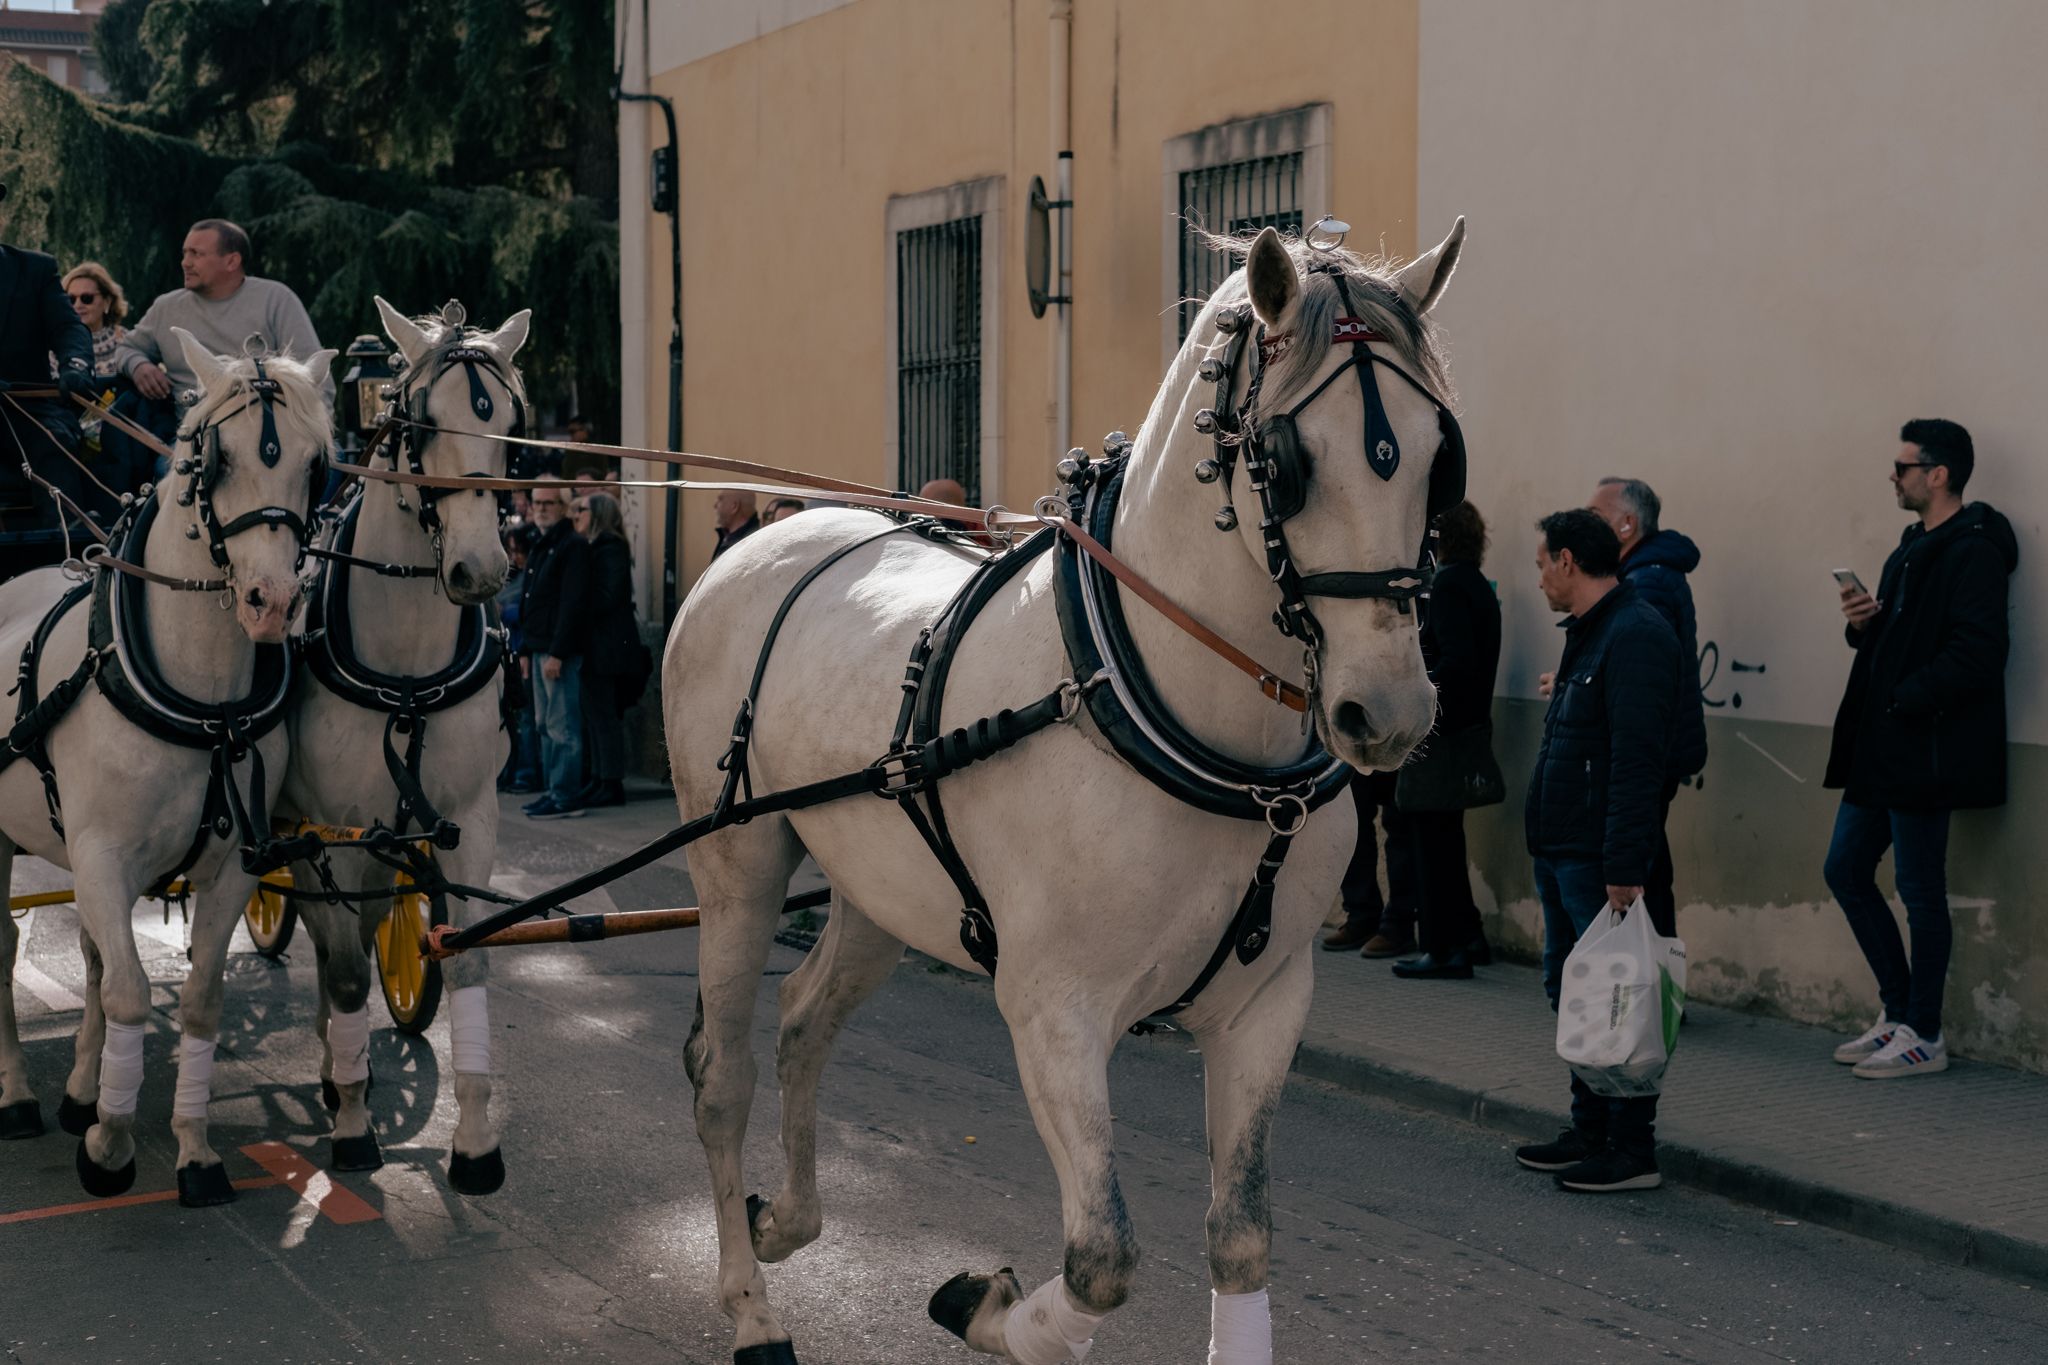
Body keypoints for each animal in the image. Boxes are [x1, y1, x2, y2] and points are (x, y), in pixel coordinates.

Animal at [0, 333, 331, 1203]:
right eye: (214, 460)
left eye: (316, 463)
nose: (271, 602)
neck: (202, 699)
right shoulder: (102, 856)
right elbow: (128, 991)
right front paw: (111, 1143)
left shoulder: (232, 866)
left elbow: (199, 999)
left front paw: (192, 1148)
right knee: (8, 950)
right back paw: (17, 1094)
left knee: (84, 952)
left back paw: (78, 1090)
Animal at [278, 296, 520, 1186]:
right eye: (420, 423)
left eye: (510, 424)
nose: (482, 571)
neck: (407, 668)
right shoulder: (333, 828)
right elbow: (348, 970)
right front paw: (353, 1127)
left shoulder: (469, 817)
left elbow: (470, 954)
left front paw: (476, 1142)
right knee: (321, 934)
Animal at [663, 227, 1466, 1365]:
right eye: (1285, 461)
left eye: (1439, 457)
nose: (1388, 710)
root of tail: (763, 538)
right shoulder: (1052, 1009)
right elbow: (1101, 1260)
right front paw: (986, 1305)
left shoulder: (1266, 1004)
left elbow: (1240, 1239)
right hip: (735, 861)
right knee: (721, 1074)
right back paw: (751, 1304)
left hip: (877, 887)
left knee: (804, 1020)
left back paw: (784, 1220)